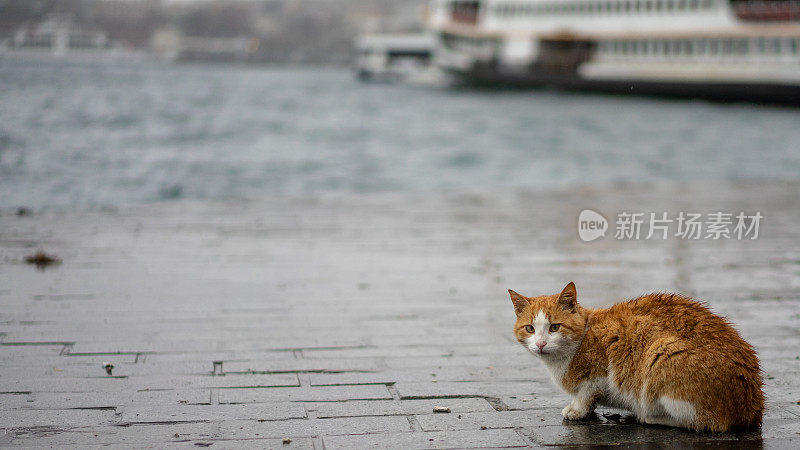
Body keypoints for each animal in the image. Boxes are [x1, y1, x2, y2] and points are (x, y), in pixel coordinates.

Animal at [510, 282, 764, 432]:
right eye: (530, 329)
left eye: (554, 327)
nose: (541, 343)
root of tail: (753, 407)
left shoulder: (600, 373)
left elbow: (587, 393)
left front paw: (578, 410)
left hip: (661, 351)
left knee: (706, 423)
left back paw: (650, 417)